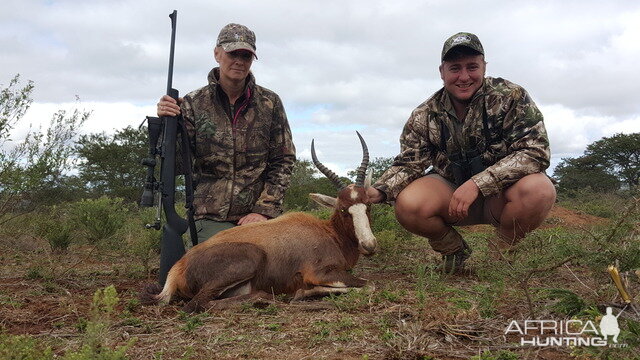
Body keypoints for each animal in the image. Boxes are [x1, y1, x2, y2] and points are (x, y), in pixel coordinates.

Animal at [141, 131, 376, 312]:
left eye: (368, 205)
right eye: (344, 209)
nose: (369, 245)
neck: (328, 233)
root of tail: (179, 267)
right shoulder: (320, 273)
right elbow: (369, 285)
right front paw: (301, 293)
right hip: (250, 258)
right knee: (197, 304)